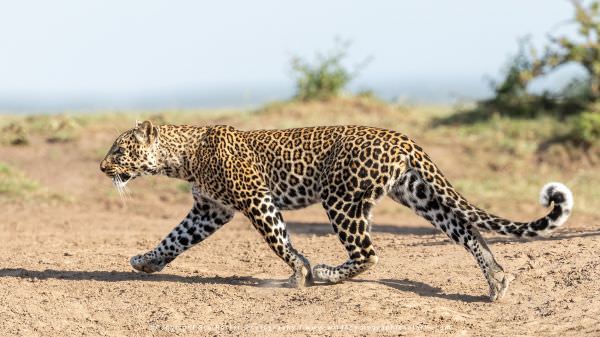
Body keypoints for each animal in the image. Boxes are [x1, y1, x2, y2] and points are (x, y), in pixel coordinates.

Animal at [101, 120, 576, 300]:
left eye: (120, 151)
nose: (103, 167)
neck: (182, 156)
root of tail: (402, 137)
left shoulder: (256, 200)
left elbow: (280, 241)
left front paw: (299, 274)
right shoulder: (208, 211)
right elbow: (173, 239)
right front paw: (146, 261)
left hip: (341, 199)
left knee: (368, 253)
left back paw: (327, 273)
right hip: (419, 196)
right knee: (468, 230)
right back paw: (497, 280)